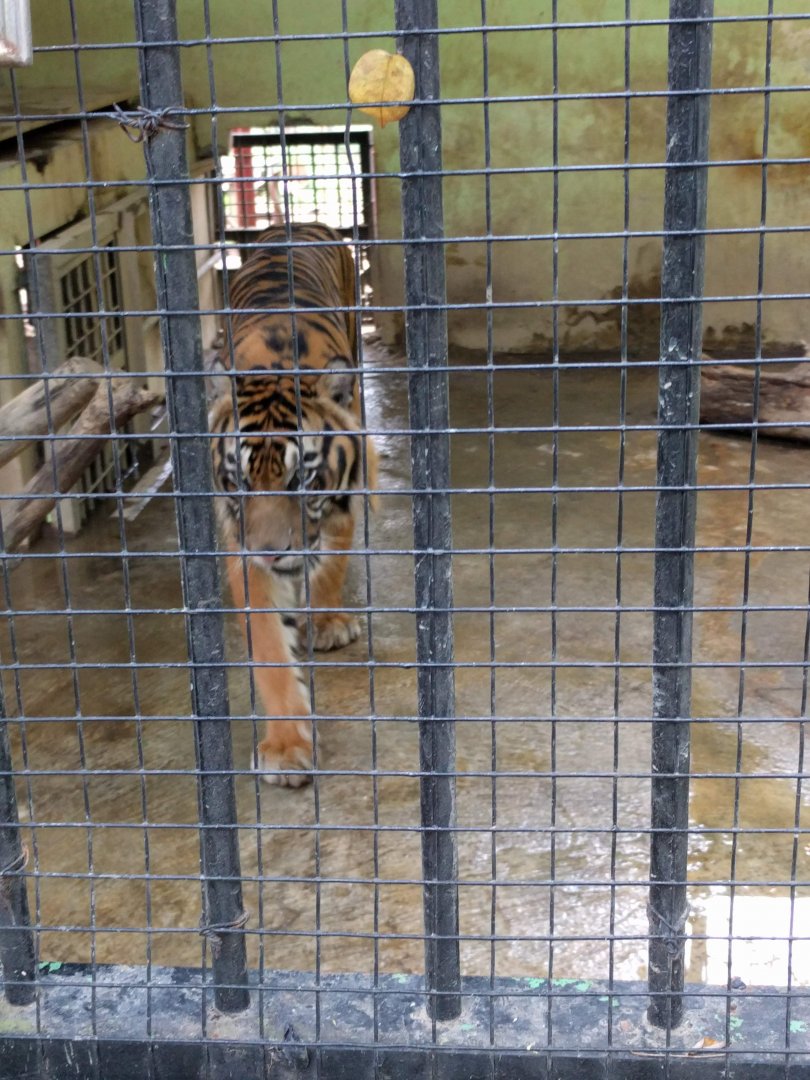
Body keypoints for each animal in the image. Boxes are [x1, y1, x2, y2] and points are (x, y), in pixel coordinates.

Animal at [209, 223, 376, 787]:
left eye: (300, 478)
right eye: (239, 482)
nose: (271, 551)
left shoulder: (342, 500)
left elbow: (331, 564)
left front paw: (327, 624)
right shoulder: (240, 545)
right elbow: (268, 647)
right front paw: (285, 747)